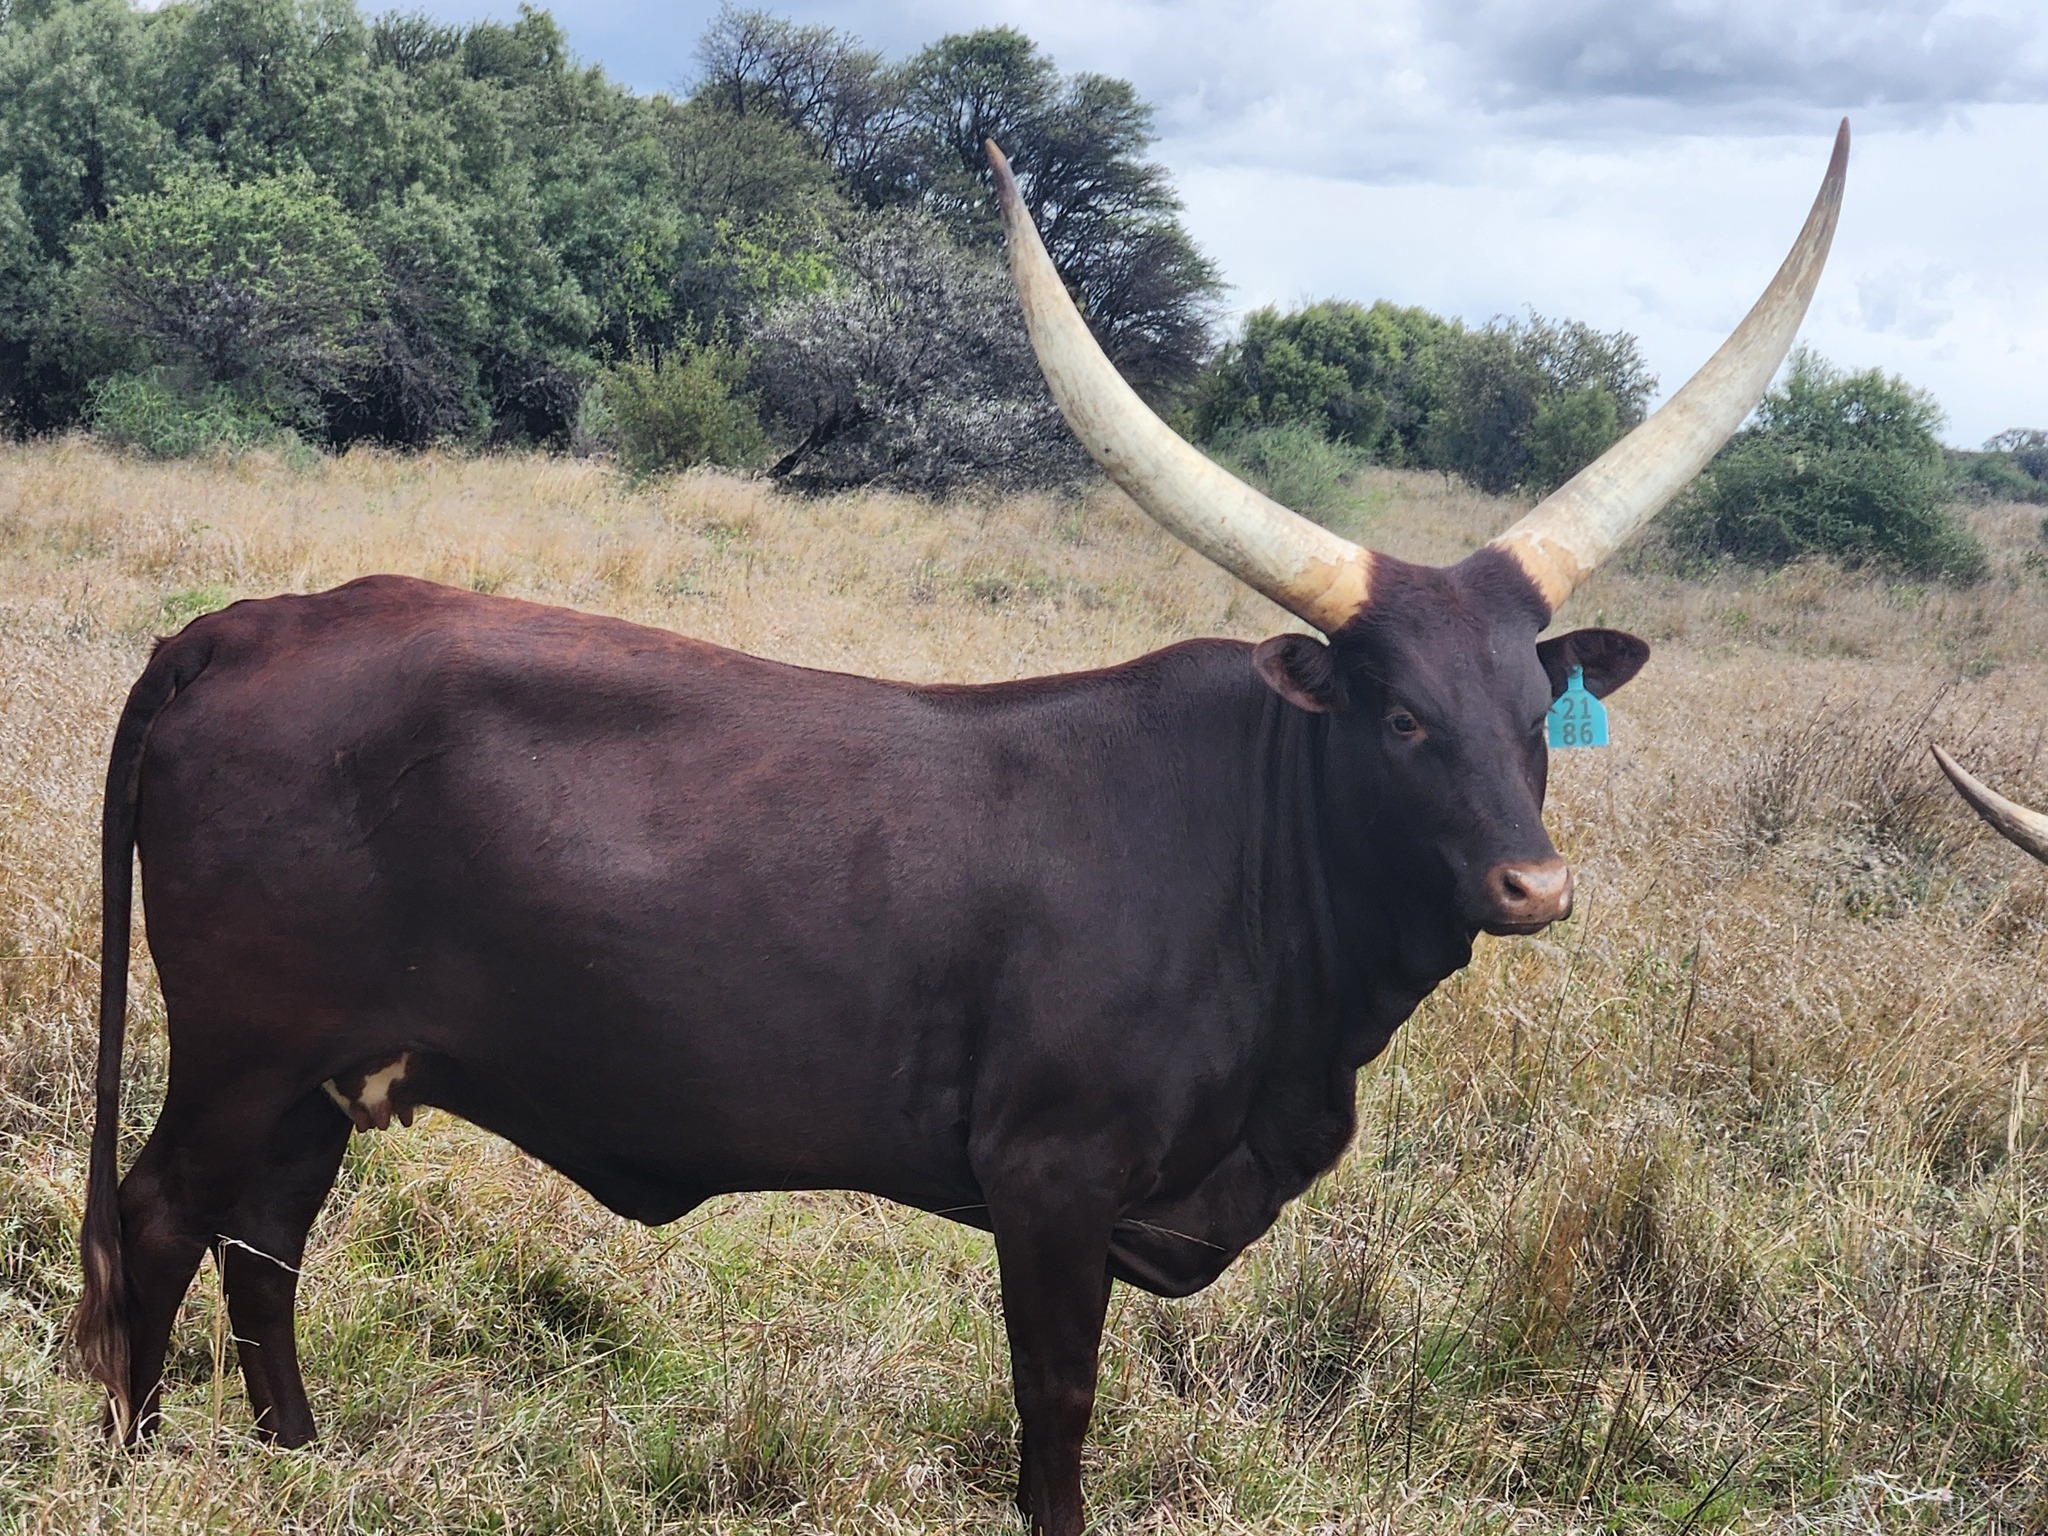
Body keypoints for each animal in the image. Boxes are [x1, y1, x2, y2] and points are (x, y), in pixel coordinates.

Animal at [72, 124, 1848, 1536]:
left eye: (1534, 716)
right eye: (1401, 718)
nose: (1534, 886)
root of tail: (238, 625)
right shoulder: (1050, 1183)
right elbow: (1053, 1411)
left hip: (325, 1068)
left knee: (266, 1241)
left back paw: (303, 1463)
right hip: (237, 1045)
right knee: (160, 1225)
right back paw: (130, 1469)